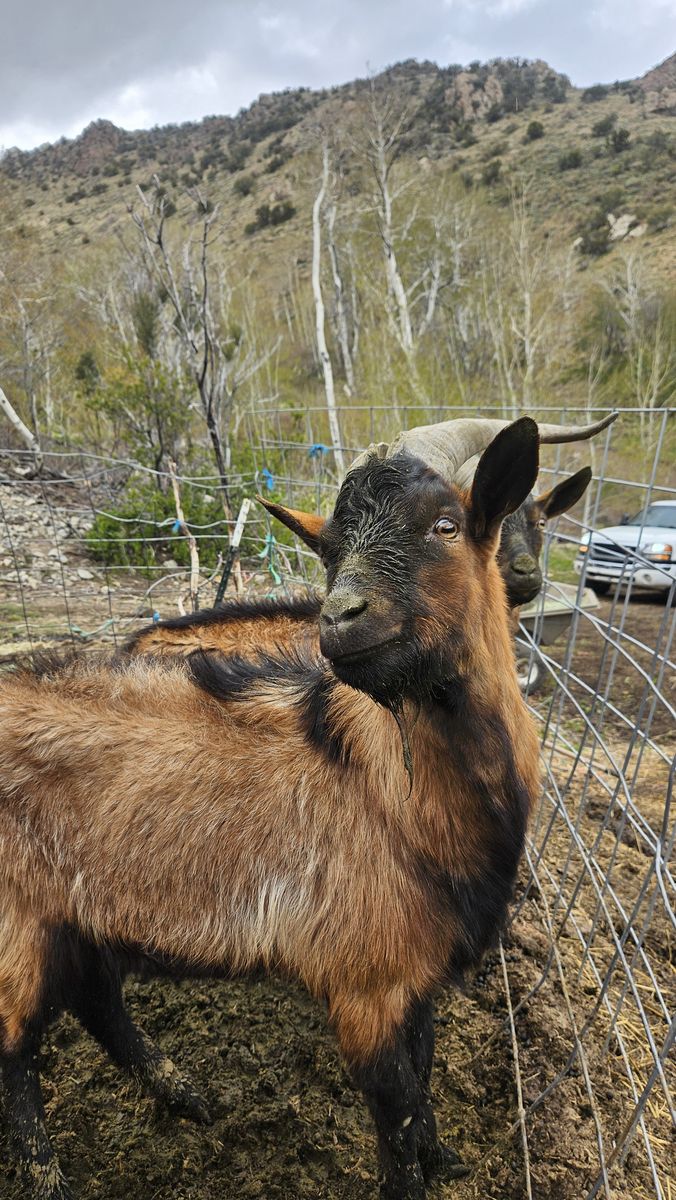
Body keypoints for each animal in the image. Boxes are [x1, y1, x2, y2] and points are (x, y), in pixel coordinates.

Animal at [0, 417, 577, 1200]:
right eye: (330, 551)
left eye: (446, 525)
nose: (339, 620)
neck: (396, 798)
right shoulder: (364, 986)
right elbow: (397, 1114)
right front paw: (417, 1169)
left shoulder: (416, 974)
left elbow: (426, 1072)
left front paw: (445, 1157)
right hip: (17, 926)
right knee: (15, 1059)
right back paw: (53, 1175)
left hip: (75, 914)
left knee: (97, 999)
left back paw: (183, 1092)